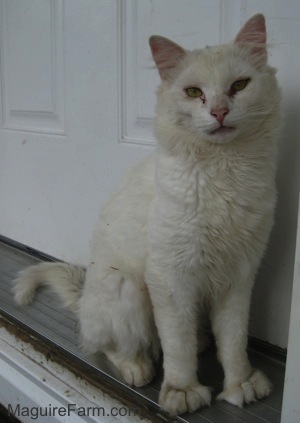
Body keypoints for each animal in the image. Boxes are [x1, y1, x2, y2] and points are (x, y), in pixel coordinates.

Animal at [12, 14, 282, 418]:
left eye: (239, 85)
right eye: (193, 93)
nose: (219, 112)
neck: (225, 172)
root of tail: (85, 299)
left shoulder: (239, 275)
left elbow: (234, 341)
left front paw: (241, 385)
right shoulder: (170, 278)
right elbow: (177, 347)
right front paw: (182, 393)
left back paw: (203, 342)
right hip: (126, 288)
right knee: (107, 345)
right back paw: (137, 368)